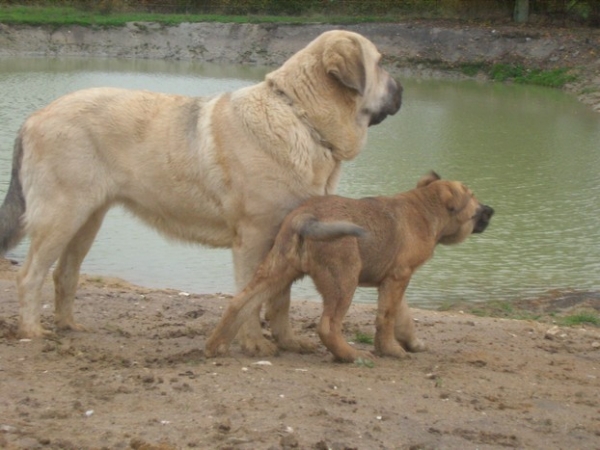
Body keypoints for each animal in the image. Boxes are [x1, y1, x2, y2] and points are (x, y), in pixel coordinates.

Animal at [206, 172, 492, 362]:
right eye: (473, 198)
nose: (492, 210)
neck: (424, 210)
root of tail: (305, 217)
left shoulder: (393, 279)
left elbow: (402, 314)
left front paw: (411, 343)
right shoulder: (398, 277)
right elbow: (387, 317)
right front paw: (392, 350)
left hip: (276, 271)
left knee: (240, 302)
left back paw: (215, 346)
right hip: (344, 280)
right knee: (328, 326)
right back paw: (352, 355)